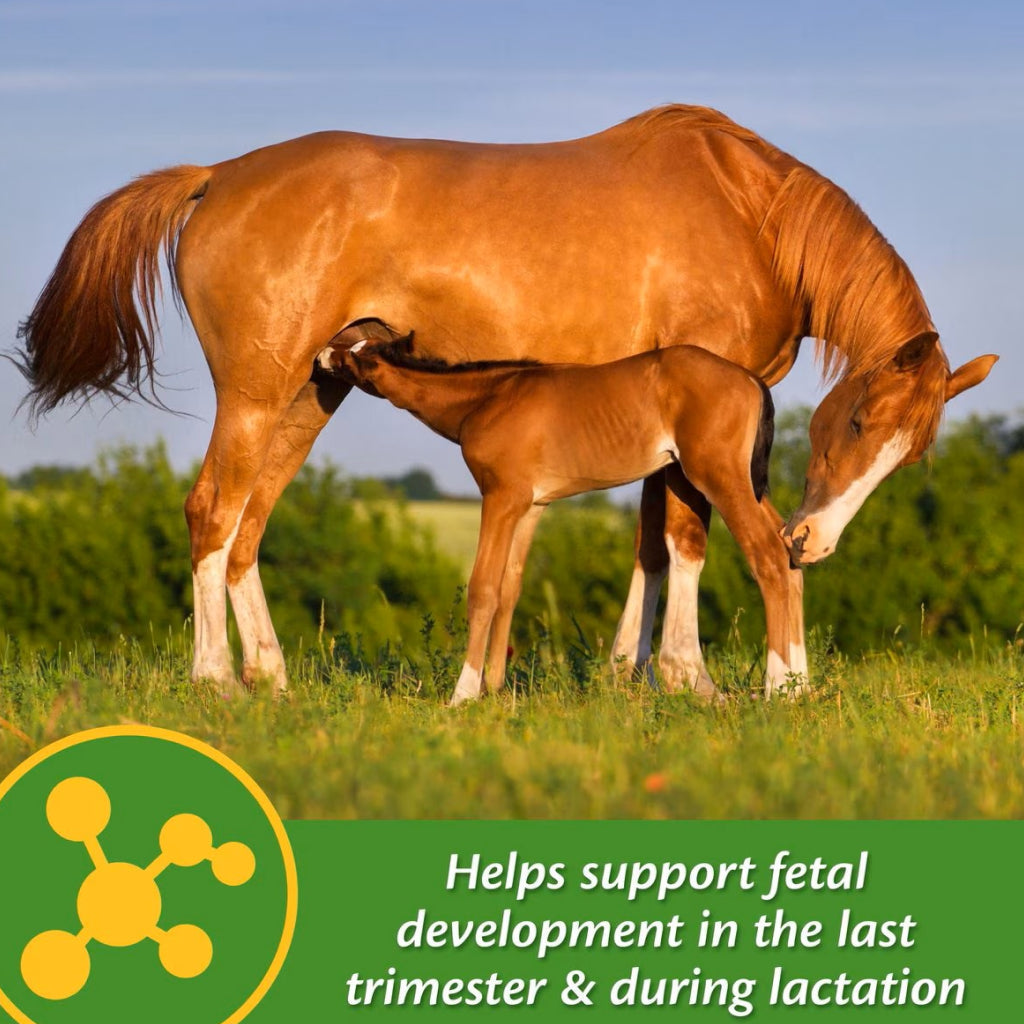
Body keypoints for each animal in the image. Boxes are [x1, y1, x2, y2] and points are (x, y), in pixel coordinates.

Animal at [324, 332, 790, 705]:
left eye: (357, 355)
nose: (324, 354)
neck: (490, 397)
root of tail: (749, 379)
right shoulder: (531, 507)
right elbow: (509, 588)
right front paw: (495, 687)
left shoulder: (500, 498)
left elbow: (483, 589)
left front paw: (464, 694)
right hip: (741, 484)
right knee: (789, 545)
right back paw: (793, 683)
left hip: (720, 478)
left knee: (768, 553)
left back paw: (778, 687)